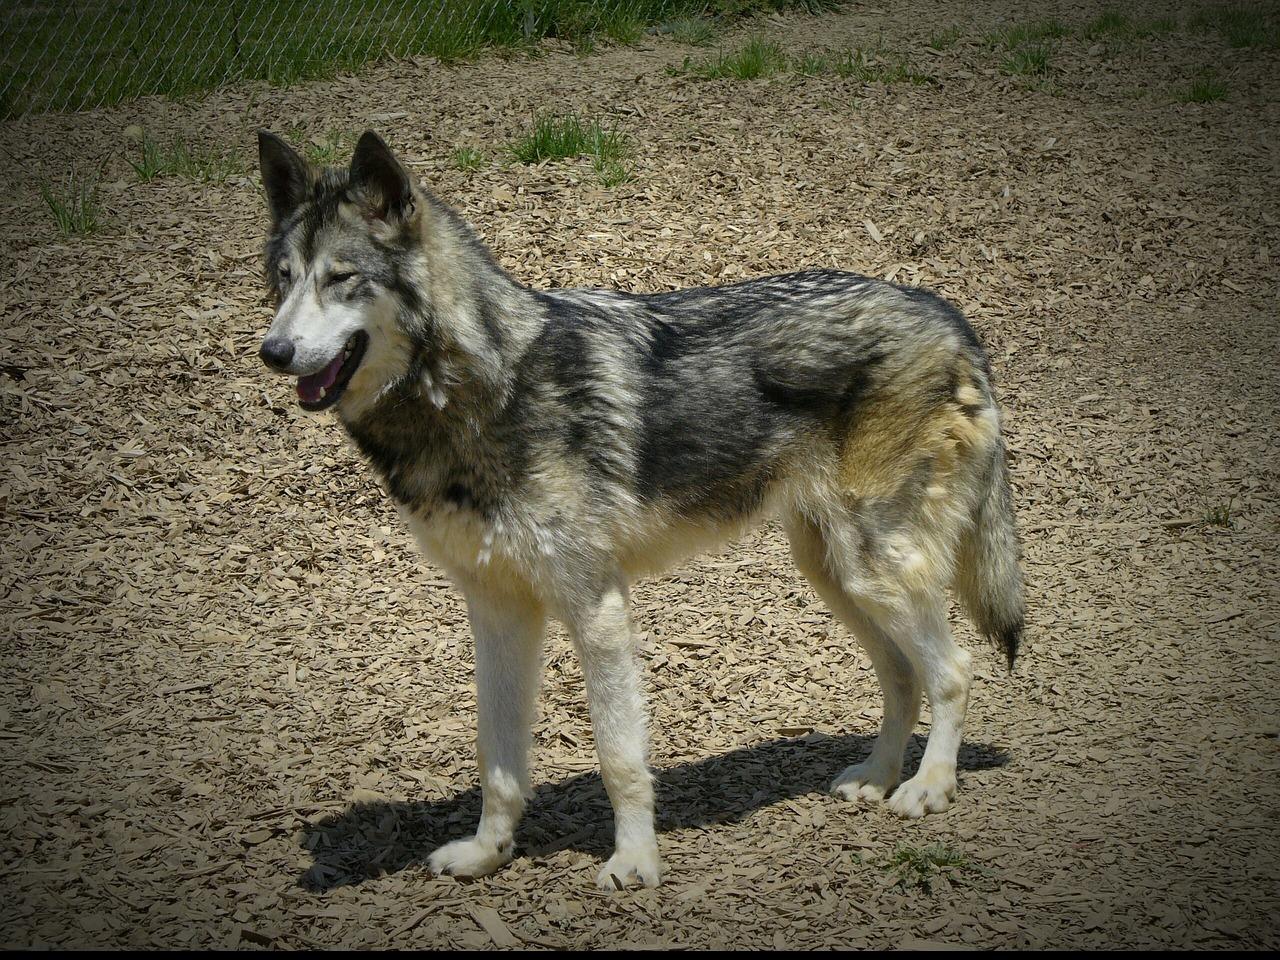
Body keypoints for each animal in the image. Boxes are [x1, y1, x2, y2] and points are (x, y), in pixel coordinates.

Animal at [254, 131, 1024, 890]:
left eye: (341, 277)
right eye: (284, 280)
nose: (272, 351)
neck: (483, 390)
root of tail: (947, 314)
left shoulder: (596, 607)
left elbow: (619, 757)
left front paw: (635, 861)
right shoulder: (499, 611)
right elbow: (497, 760)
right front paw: (486, 853)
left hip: (874, 570)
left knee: (953, 670)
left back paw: (928, 788)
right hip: (835, 573)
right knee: (902, 674)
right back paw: (877, 776)